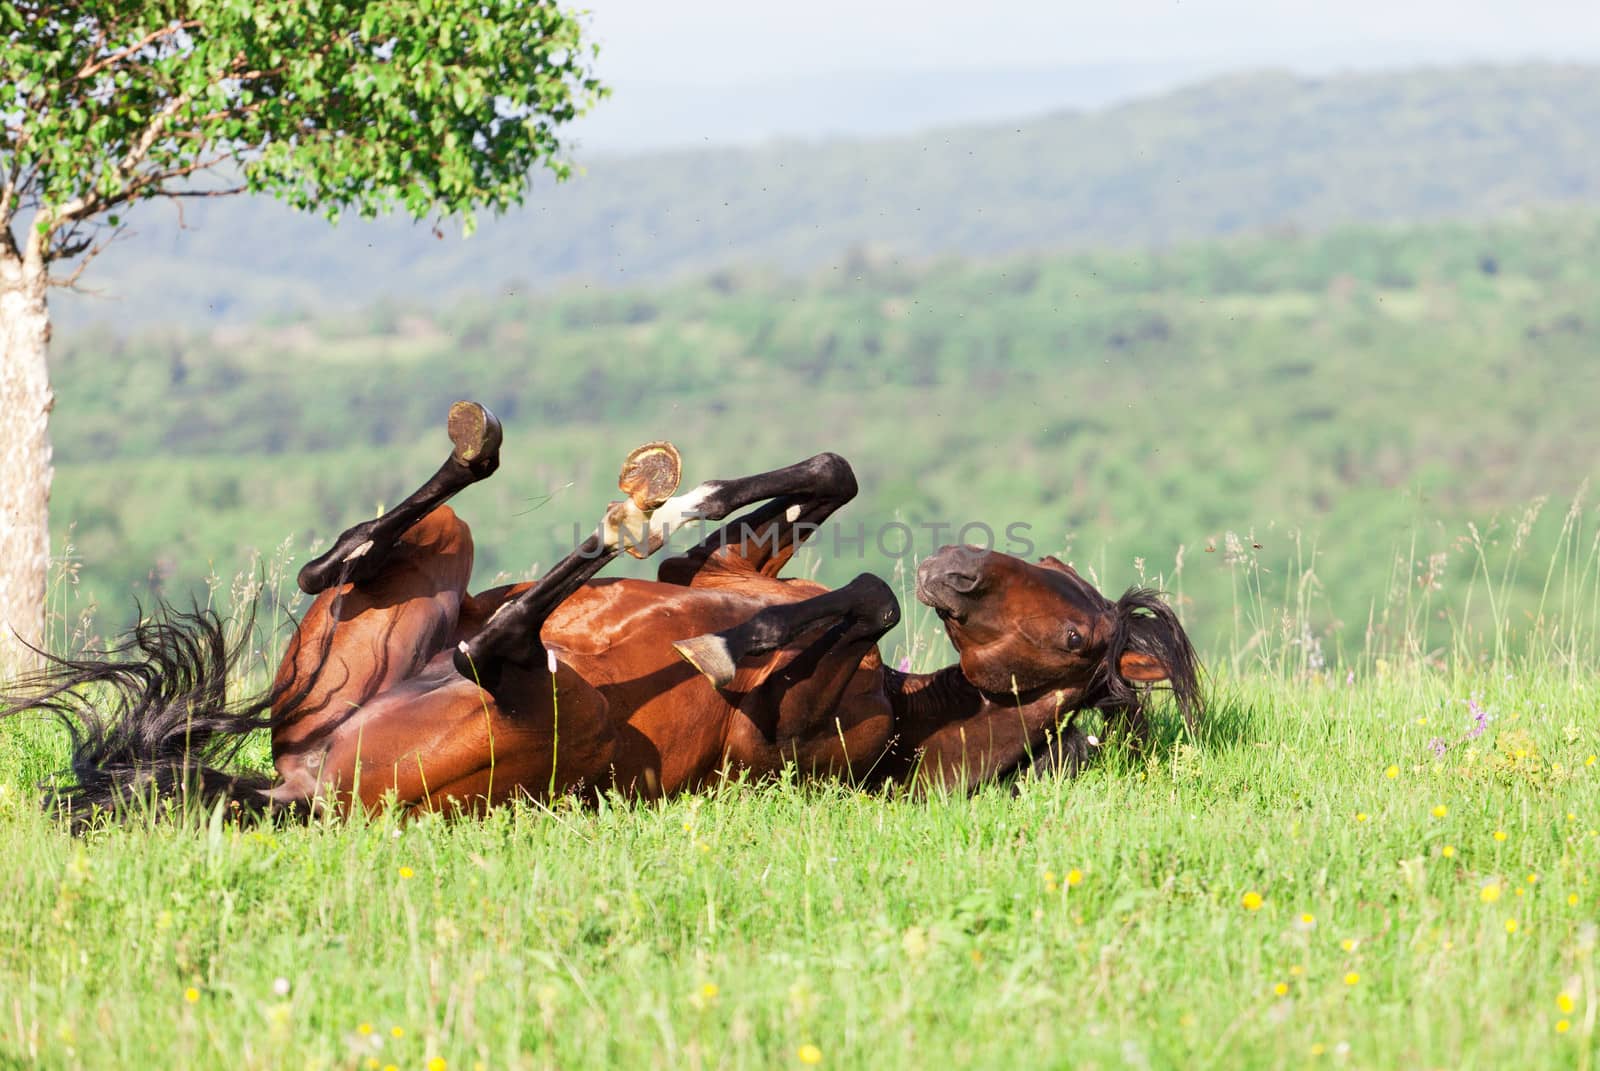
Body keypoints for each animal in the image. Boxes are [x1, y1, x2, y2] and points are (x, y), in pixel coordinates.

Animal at [3, 403, 1203, 826]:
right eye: (1043, 566)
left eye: (1076, 640)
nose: (955, 567)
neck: (904, 718)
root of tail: (295, 787)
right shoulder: (741, 562)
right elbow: (824, 478)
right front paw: (678, 504)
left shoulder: (795, 737)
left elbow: (858, 598)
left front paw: (714, 633)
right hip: (420, 578)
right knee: (339, 562)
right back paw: (509, 461)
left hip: (538, 708)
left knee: (493, 641)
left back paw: (597, 525)